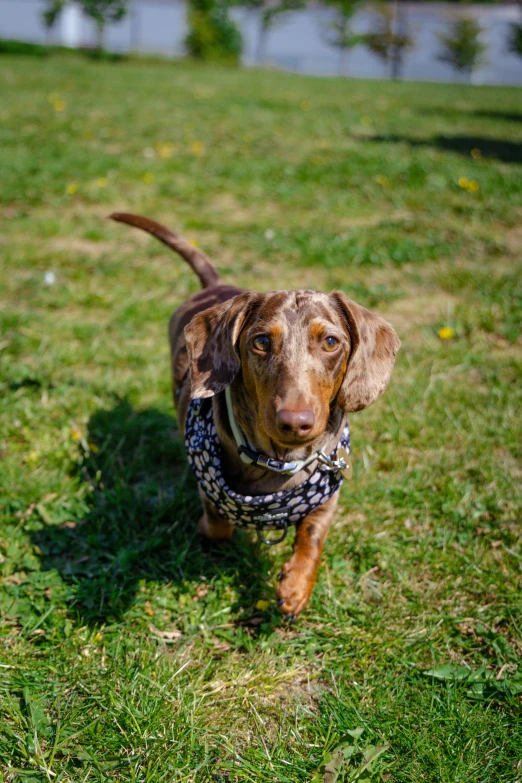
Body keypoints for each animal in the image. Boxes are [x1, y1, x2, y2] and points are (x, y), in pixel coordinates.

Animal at [107, 213, 396, 620]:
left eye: (330, 342)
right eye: (260, 342)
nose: (295, 422)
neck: (278, 462)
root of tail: (216, 285)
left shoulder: (328, 488)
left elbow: (312, 536)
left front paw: (295, 586)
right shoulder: (211, 491)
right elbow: (217, 524)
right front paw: (209, 531)